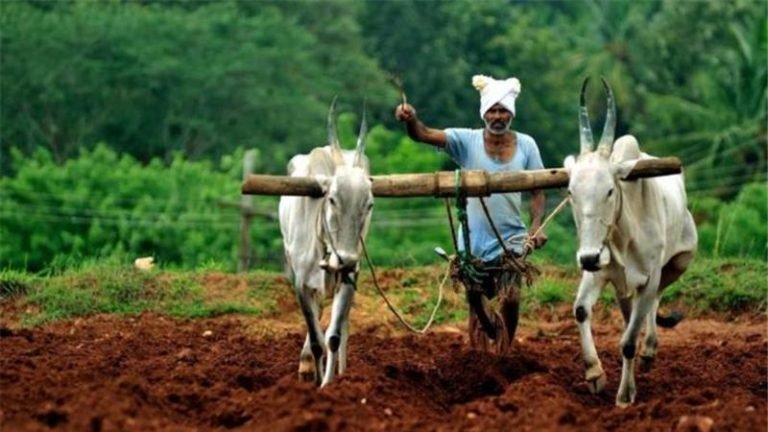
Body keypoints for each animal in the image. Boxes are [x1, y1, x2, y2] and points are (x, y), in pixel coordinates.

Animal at [278, 101, 374, 388]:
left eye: (369, 204)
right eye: (332, 199)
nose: (347, 259)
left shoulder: (349, 278)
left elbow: (332, 338)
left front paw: (330, 385)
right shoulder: (301, 284)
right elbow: (317, 340)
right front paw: (314, 381)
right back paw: (306, 363)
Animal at [560, 78, 700, 408]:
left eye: (610, 190)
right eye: (570, 192)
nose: (587, 257)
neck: (623, 237)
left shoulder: (649, 277)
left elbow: (627, 342)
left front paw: (625, 396)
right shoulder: (599, 272)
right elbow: (580, 310)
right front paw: (595, 374)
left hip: (678, 262)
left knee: (654, 303)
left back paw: (649, 349)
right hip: (622, 285)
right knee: (630, 314)